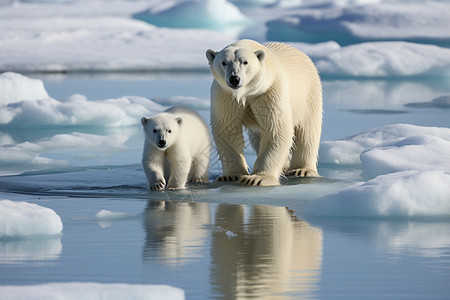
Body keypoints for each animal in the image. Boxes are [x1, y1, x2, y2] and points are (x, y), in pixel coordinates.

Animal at [206, 39, 322, 186]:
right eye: (224, 62)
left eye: (245, 62)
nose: (234, 79)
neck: (247, 92)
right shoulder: (225, 95)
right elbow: (227, 130)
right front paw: (231, 176)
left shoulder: (269, 91)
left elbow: (276, 129)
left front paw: (257, 178)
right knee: (258, 137)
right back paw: (285, 166)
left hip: (308, 94)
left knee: (307, 132)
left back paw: (302, 170)